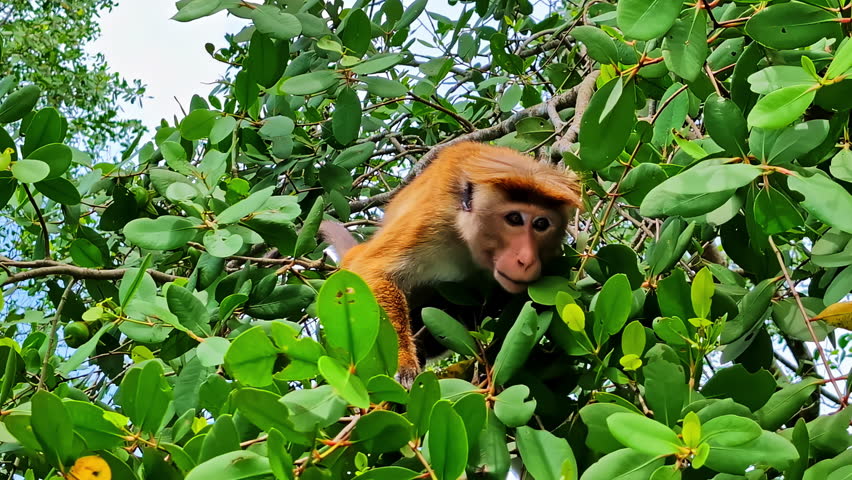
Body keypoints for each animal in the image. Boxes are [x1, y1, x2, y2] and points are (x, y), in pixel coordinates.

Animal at [320, 141, 582, 386]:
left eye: (541, 224)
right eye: (515, 218)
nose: (526, 259)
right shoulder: (433, 221)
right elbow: (373, 269)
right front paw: (404, 363)